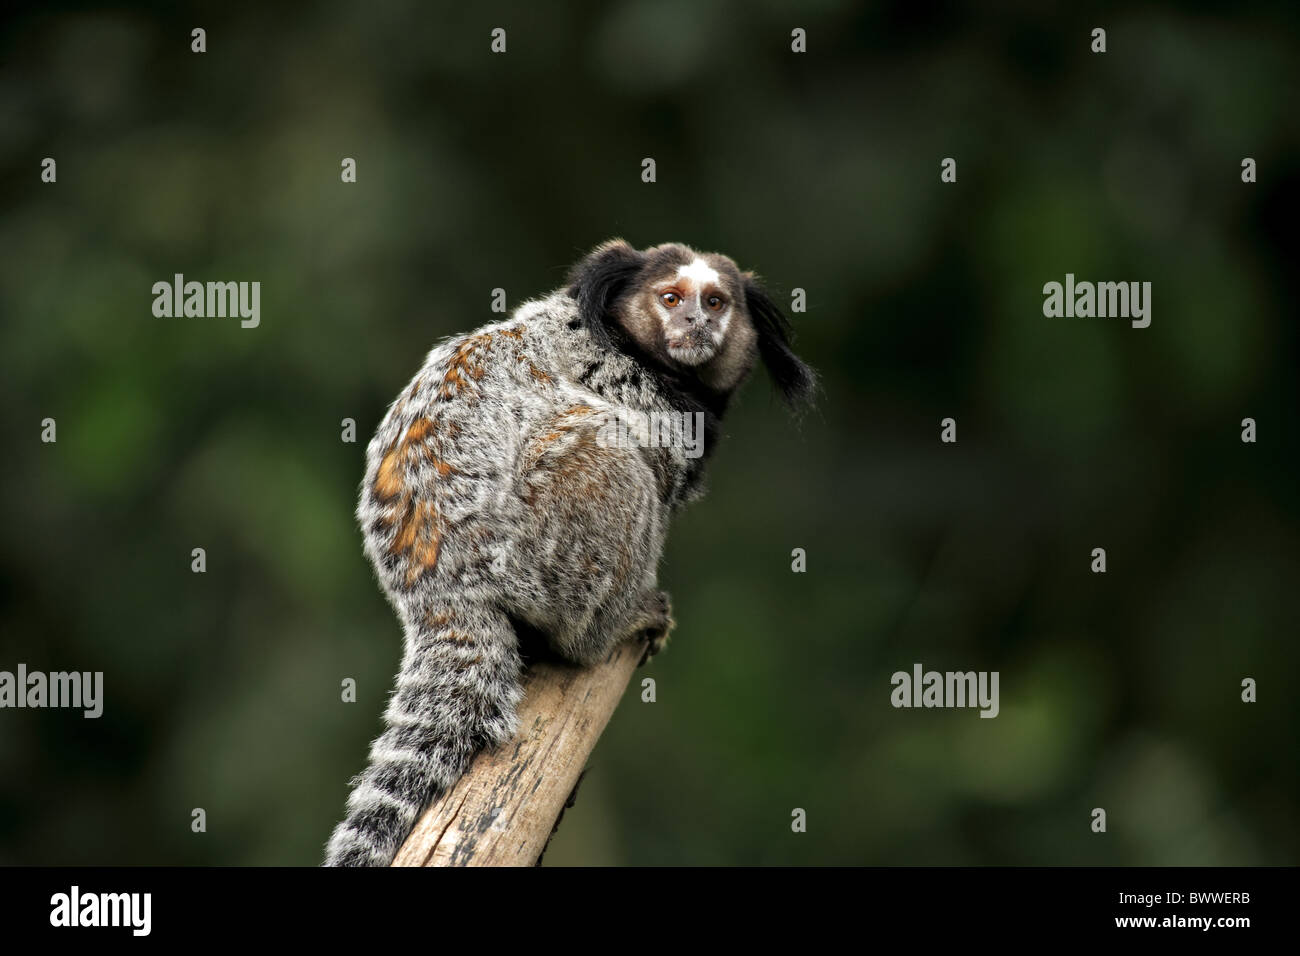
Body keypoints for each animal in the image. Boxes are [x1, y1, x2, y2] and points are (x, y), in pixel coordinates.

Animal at [323, 239, 815, 866]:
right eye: (671, 298)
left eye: (715, 302)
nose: (695, 323)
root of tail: (439, 588)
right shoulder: (629, 392)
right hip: (534, 549)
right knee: (609, 450)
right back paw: (608, 629)